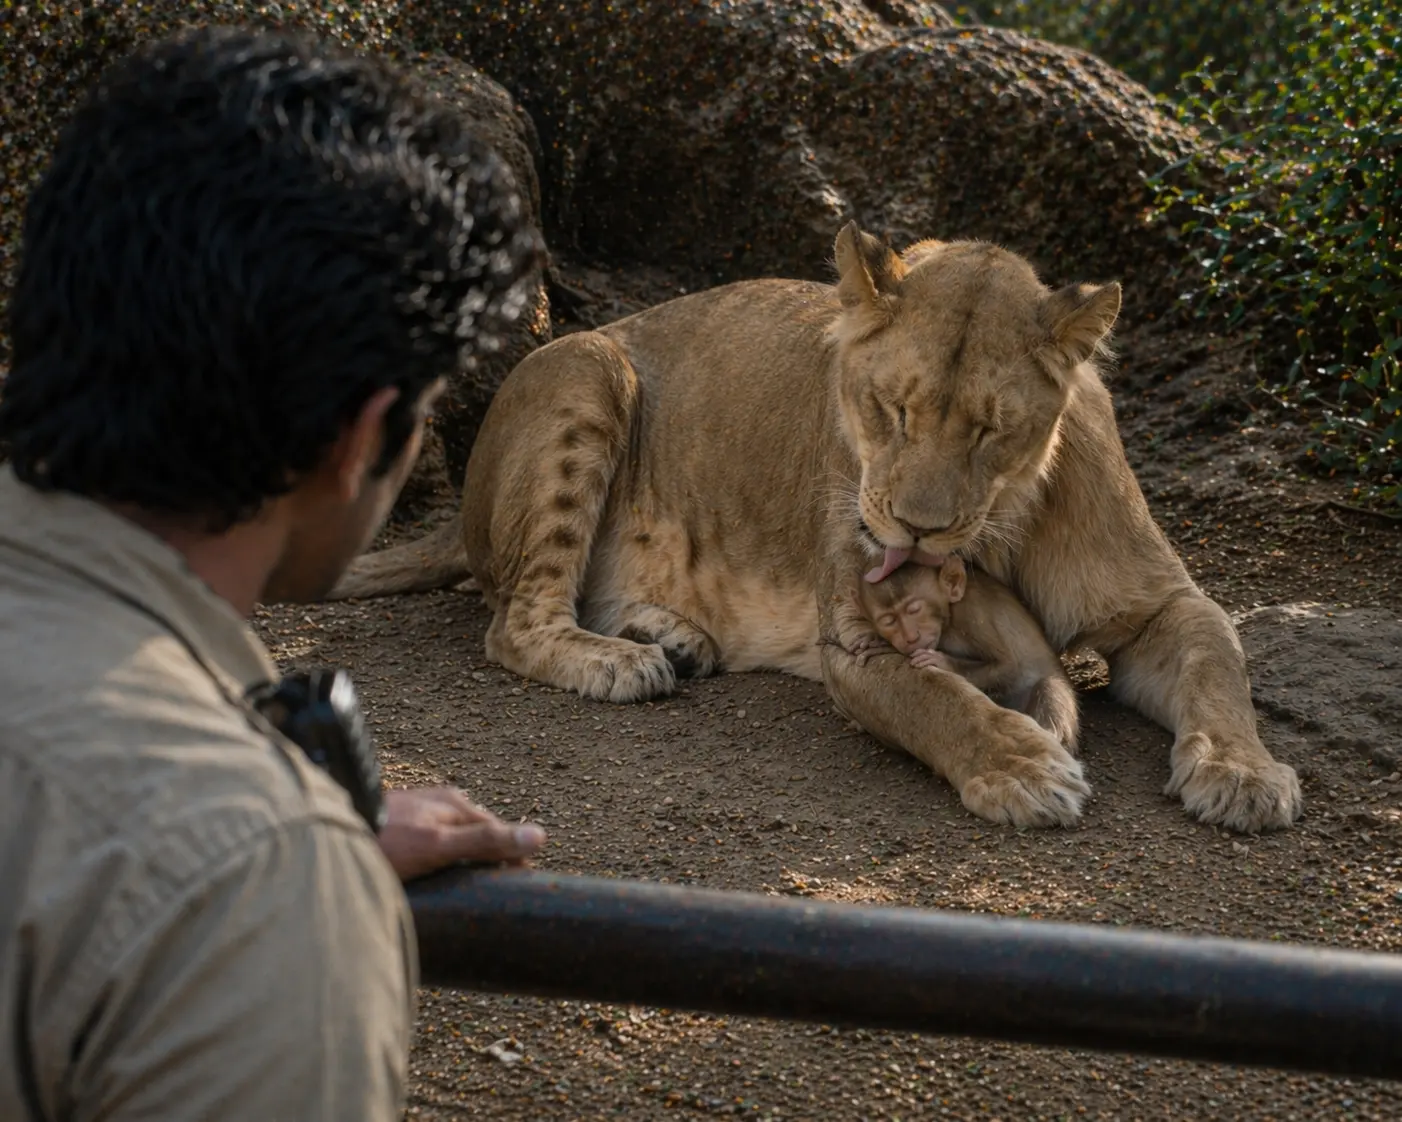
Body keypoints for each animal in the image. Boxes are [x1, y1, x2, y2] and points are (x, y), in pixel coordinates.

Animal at [846, 556, 1080, 753]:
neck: (948, 620)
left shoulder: (973, 612)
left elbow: (1009, 666)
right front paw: (880, 643)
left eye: (914, 609)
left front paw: (941, 661)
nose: (911, 636)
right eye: (889, 621)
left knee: (1048, 686)